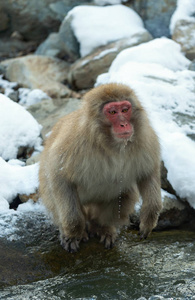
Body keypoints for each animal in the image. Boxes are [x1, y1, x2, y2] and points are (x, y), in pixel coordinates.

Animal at [38, 83, 162, 252]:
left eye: (125, 110)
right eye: (112, 112)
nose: (124, 124)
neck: (110, 144)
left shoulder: (145, 138)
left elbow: (148, 174)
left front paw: (149, 218)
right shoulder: (74, 144)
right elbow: (59, 176)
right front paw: (73, 232)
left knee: (125, 194)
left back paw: (101, 227)